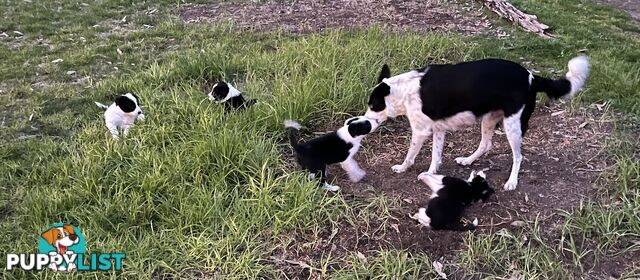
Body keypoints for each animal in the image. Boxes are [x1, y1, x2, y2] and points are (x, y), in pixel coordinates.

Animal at [364, 54, 592, 190]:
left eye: (373, 105)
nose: (364, 121)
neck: (404, 89)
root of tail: (532, 77)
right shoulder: (438, 129)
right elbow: (436, 156)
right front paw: (430, 173)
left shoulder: (421, 131)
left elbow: (410, 155)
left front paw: (402, 168)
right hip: (489, 119)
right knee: (486, 144)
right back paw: (468, 160)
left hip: (513, 126)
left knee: (518, 156)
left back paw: (512, 181)